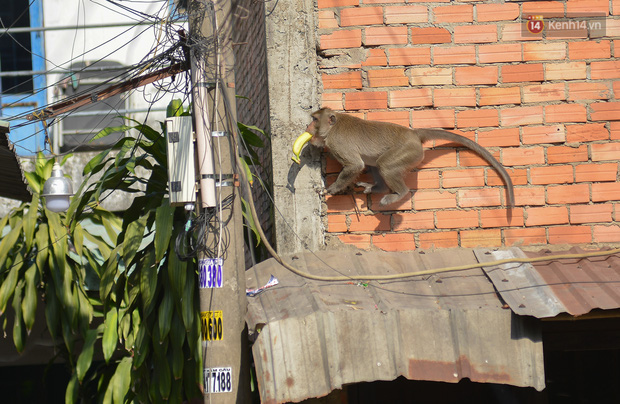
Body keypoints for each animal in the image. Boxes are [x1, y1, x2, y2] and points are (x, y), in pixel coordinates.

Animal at [304, 107, 512, 208]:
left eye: (314, 120)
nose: (307, 126)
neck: (332, 127)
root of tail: (413, 133)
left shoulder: (336, 143)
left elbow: (354, 165)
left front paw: (331, 189)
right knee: (375, 164)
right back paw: (378, 187)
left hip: (409, 151)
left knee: (384, 165)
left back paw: (399, 193)